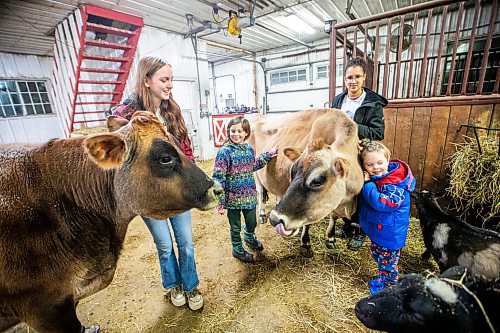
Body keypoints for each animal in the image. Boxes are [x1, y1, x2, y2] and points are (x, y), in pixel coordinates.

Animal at [249, 107, 364, 255]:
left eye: (317, 180)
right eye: (292, 172)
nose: (275, 219)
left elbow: (333, 216)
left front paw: (330, 238)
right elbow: (308, 222)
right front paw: (305, 242)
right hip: (254, 171)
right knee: (260, 192)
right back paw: (262, 214)